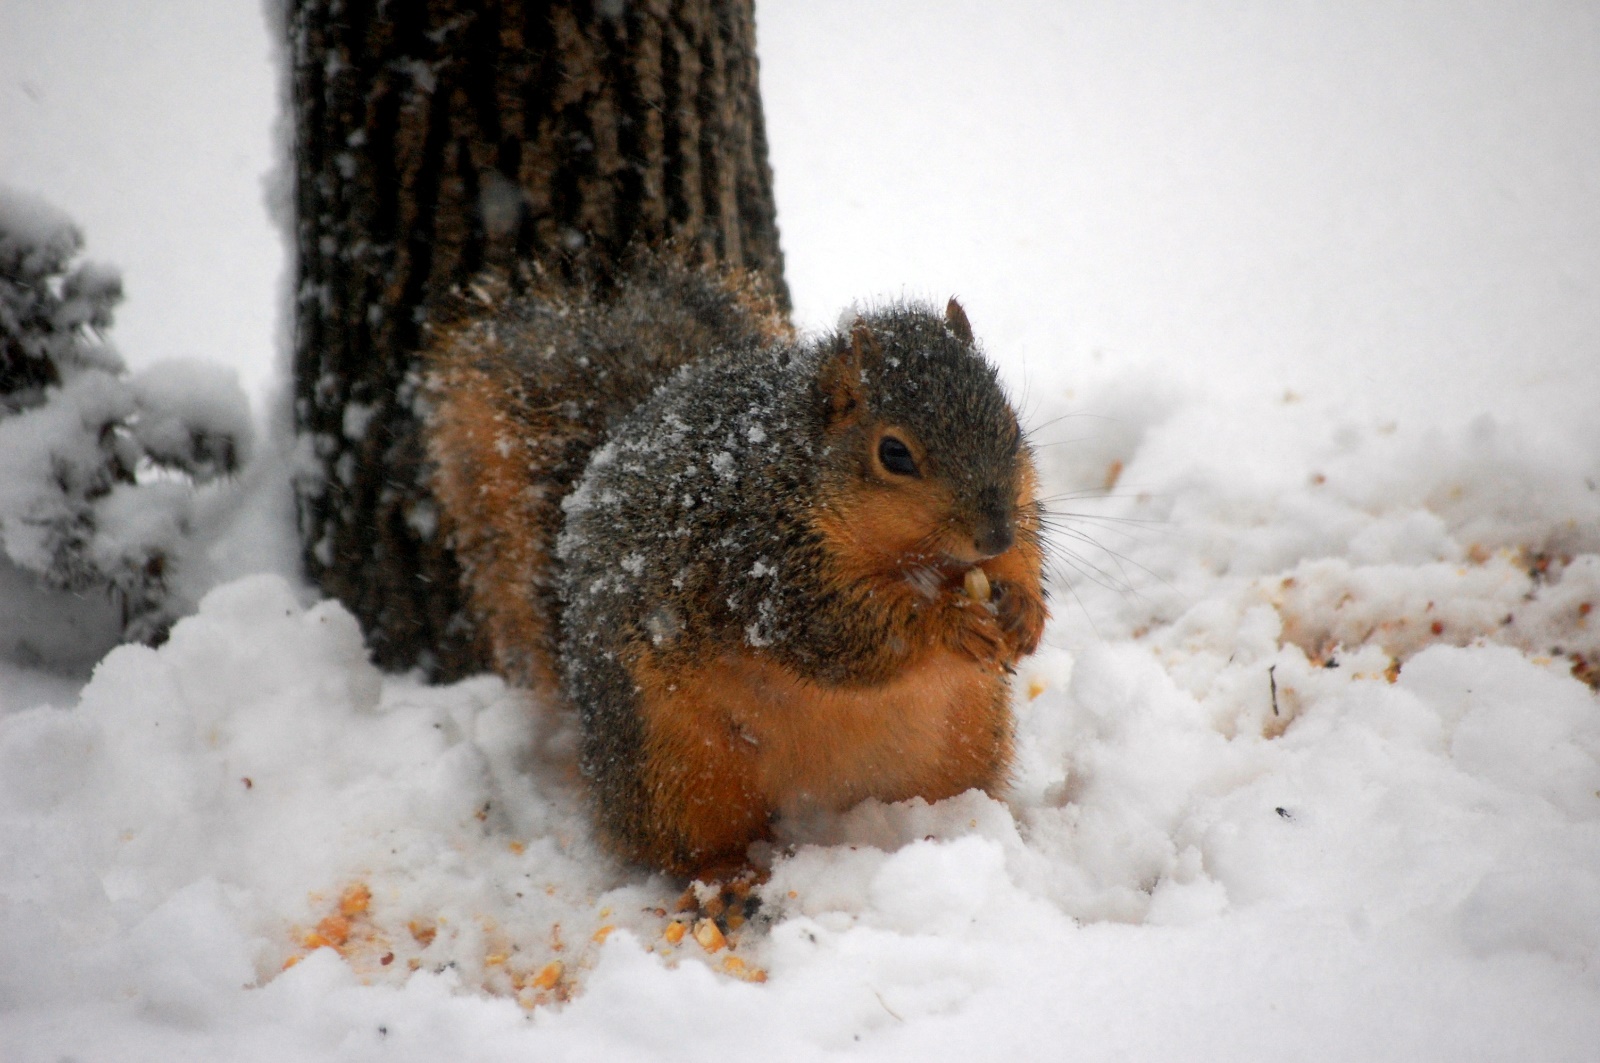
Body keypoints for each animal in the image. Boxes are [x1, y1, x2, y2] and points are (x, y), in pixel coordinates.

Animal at [423, 254, 1047, 880]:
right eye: (894, 453)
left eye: (1012, 423)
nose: (993, 533)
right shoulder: (763, 566)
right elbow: (839, 633)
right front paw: (950, 622)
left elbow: (1027, 553)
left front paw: (1025, 611)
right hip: (672, 759)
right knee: (678, 845)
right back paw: (725, 878)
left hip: (965, 740)